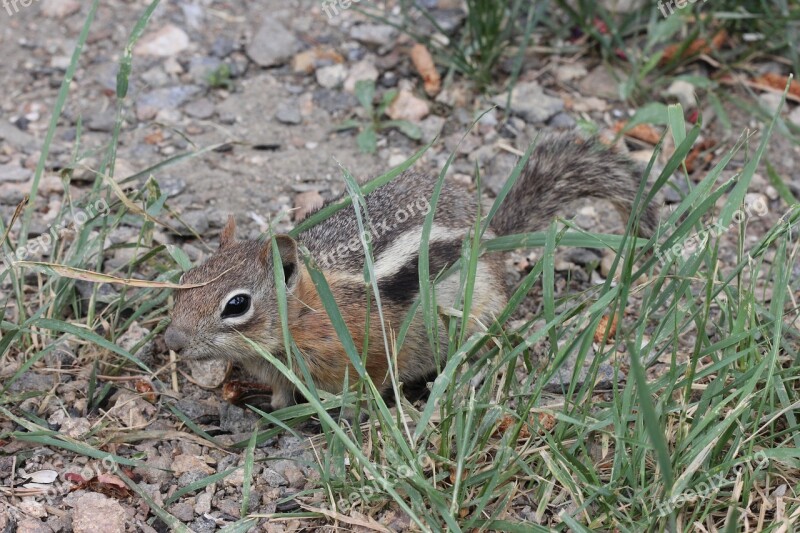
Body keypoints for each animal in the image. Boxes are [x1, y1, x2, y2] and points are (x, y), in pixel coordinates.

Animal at [162, 133, 656, 408]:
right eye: (183, 283)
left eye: (237, 305)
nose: (171, 341)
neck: (305, 315)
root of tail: (491, 233)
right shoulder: (280, 371)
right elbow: (283, 396)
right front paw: (271, 414)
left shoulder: (371, 351)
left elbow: (371, 387)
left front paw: (353, 414)